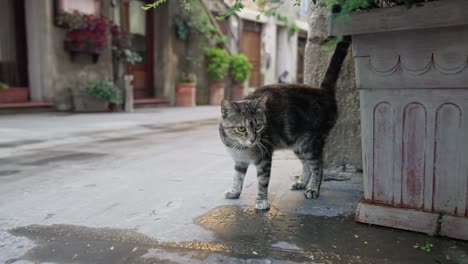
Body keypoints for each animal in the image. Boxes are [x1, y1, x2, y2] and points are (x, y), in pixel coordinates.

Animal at [218, 40, 350, 210]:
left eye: (258, 126)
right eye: (241, 128)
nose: (253, 139)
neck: (240, 147)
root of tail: (323, 91)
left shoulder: (264, 159)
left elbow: (262, 182)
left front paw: (261, 200)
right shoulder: (240, 161)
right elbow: (237, 177)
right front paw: (234, 191)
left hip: (309, 144)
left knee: (318, 165)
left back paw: (313, 188)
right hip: (297, 144)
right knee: (306, 165)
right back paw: (302, 182)